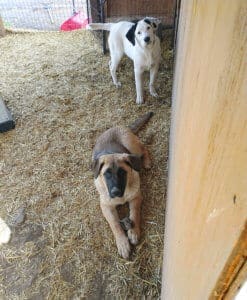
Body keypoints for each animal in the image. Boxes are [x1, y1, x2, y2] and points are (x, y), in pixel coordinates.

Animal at [91, 112, 152, 258]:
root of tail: (120, 126)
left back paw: (146, 162)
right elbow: (115, 224)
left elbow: (134, 213)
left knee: (144, 148)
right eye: (106, 173)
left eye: (122, 172)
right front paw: (122, 243)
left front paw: (133, 232)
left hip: (132, 147)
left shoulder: (136, 197)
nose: (115, 192)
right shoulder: (106, 206)